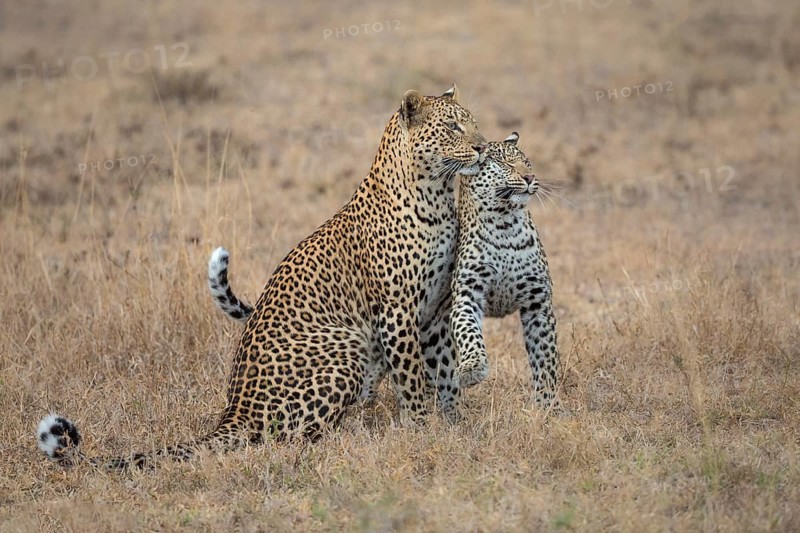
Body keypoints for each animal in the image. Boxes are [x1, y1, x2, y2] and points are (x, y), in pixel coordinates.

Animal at [37, 85, 487, 469]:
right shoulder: (397, 312)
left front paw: (456, 426)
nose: (482, 147)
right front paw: (422, 429)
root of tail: (234, 412)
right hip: (346, 350)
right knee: (288, 437)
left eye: (472, 122)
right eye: (453, 127)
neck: (437, 195)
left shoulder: (434, 312)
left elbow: (445, 370)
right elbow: (413, 379)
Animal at [450, 132, 560, 410]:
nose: (530, 177)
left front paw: (548, 405)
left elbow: (546, 355)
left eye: (527, 162)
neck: (505, 225)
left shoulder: (538, 302)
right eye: (504, 163)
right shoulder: (467, 296)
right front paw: (471, 369)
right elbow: (468, 333)